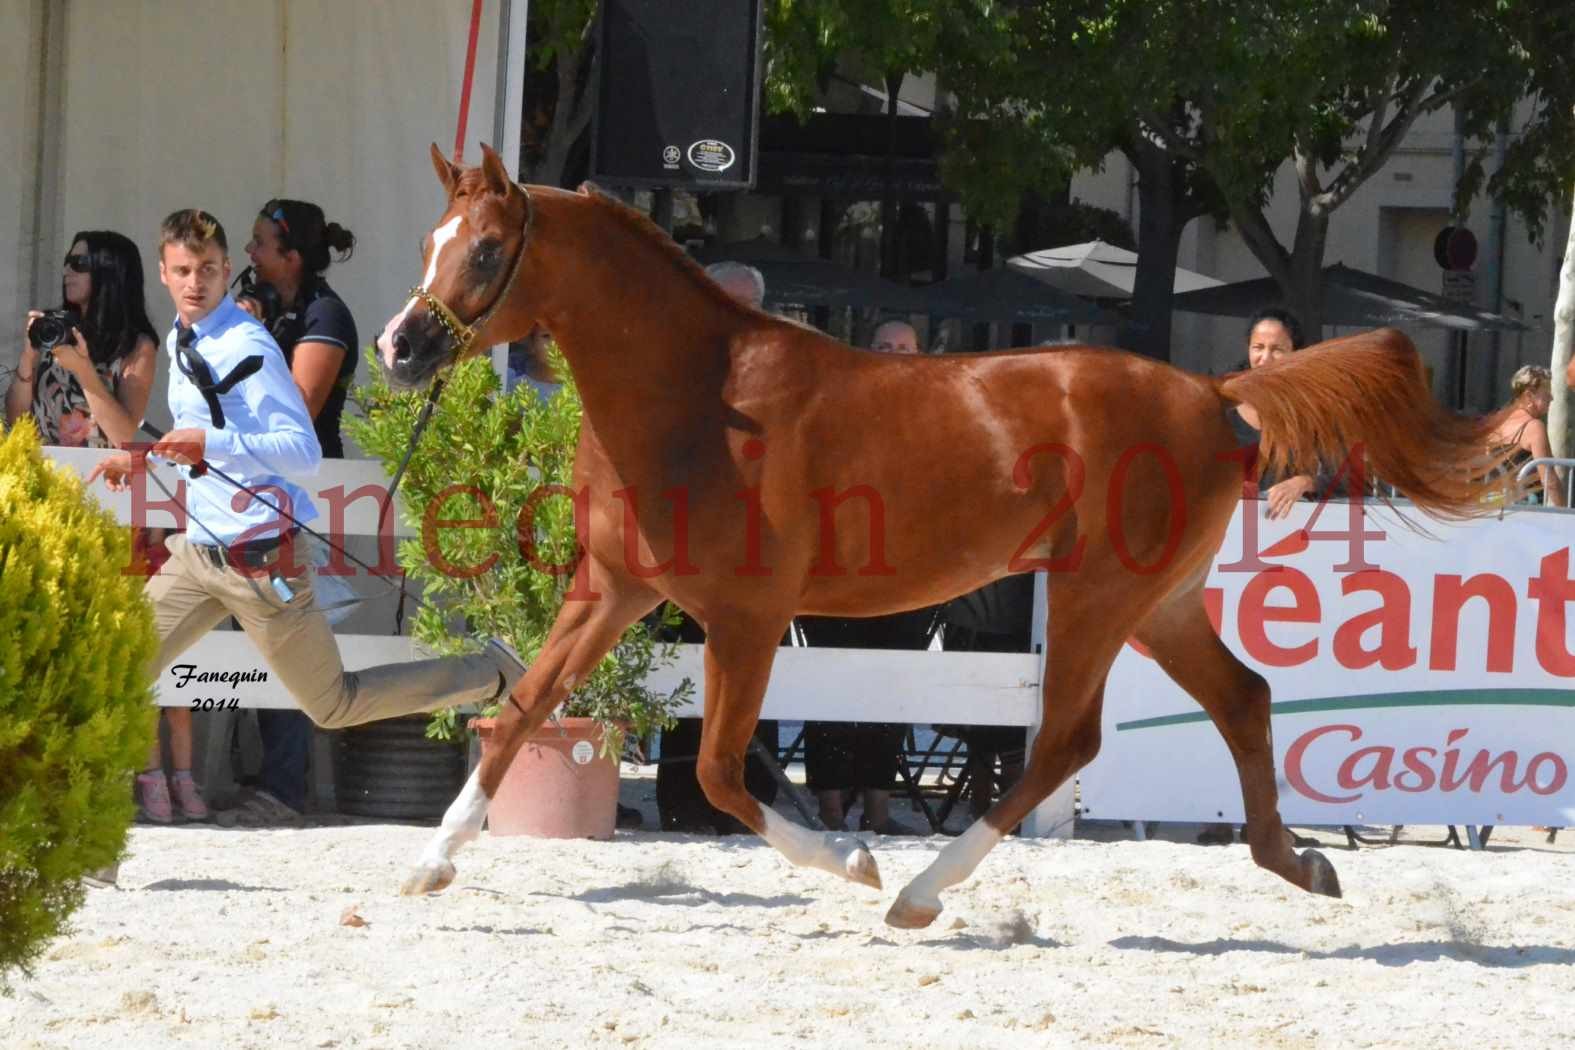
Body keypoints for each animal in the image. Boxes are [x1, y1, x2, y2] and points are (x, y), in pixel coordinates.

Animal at [378, 141, 1512, 925]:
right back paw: (1302, 863)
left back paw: (917, 890)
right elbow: (518, 713)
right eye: (429, 243)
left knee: (1065, 743)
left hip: (1097, 598)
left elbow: (718, 772)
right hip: (1161, 603)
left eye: (486, 248)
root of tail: (1213, 391)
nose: (399, 347)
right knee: (1242, 698)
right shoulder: (612, 590)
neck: (699, 399)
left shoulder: (746, 617)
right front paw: (429, 863)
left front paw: (852, 862)